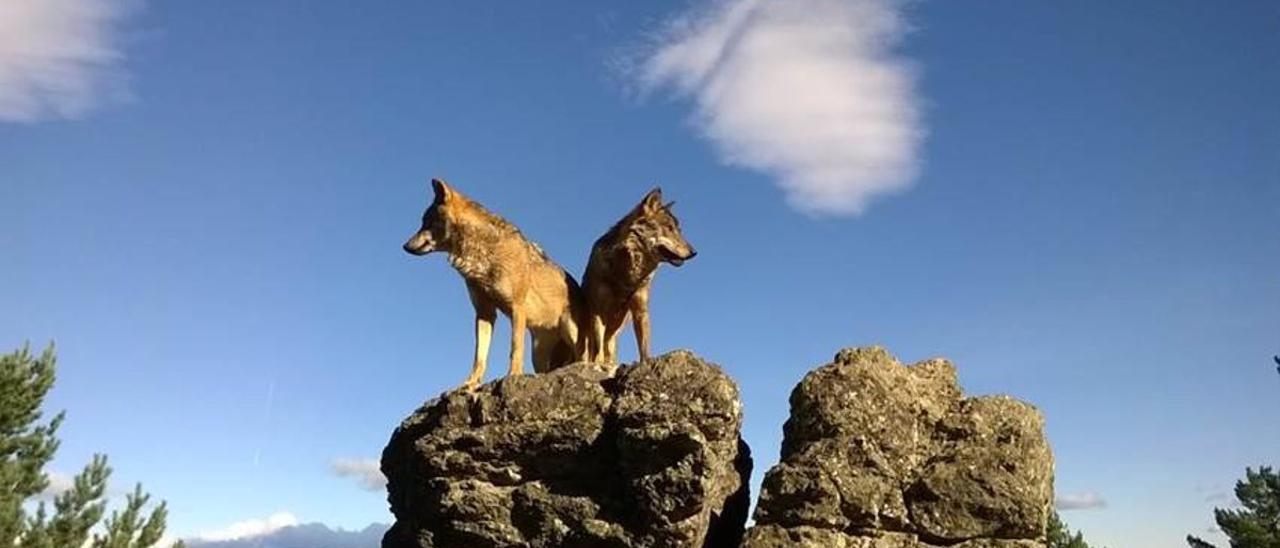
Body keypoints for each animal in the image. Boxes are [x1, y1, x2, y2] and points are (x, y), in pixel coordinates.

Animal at [401, 179, 586, 389]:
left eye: (427, 222)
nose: (404, 246)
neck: (482, 255)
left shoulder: (517, 308)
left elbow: (515, 348)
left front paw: (513, 375)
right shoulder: (484, 313)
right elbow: (479, 356)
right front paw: (470, 383)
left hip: (571, 333)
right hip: (538, 356)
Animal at [583, 188, 696, 363]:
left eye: (679, 231)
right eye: (669, 228)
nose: (694, 252)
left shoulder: (641, 309)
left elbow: (644, 347)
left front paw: (646, 363)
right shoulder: (599, 310)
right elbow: (598, 347)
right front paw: (598, 364)